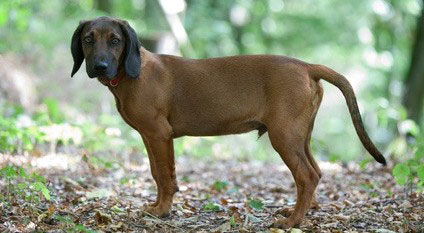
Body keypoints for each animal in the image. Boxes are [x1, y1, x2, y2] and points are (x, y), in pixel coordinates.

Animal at [71, 16, 386, 229]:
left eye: (115, 40)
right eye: (88, 39)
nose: (99, 66)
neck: (132, 74)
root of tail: (307, 66)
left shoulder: (159, 134)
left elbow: (164, 176)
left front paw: (163, 211)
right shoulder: (150, 136)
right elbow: (156, 174)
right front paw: (158, 206)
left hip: (283, 136)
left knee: (307, 176)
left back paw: (292, 222)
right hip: (300, 135)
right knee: (316, 173)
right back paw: (299, 212)